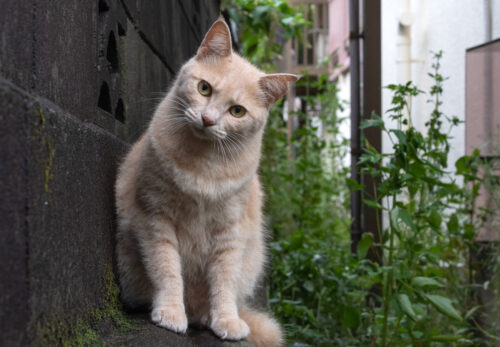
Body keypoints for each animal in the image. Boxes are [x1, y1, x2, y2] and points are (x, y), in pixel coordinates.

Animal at [115, 16, 298, 347]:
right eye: (204, 88)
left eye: (237, 111)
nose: (208, 120)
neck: (202, 166)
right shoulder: (155, 218)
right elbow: (167, 270)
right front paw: (171, 313)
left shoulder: (230, 232)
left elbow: (224, 282)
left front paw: (225, 321)